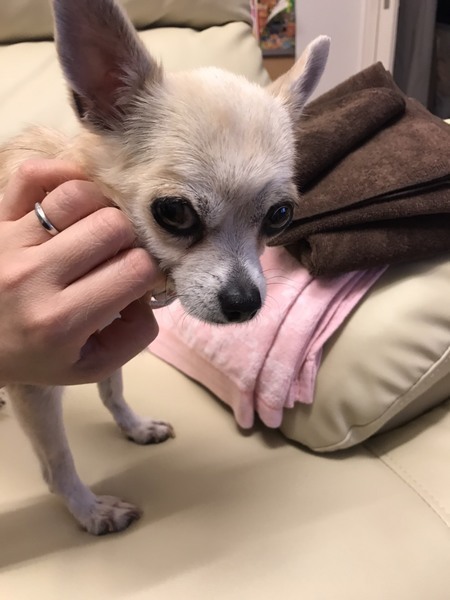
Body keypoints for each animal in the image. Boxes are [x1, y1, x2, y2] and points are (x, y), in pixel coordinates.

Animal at [0, 0, 329, 534]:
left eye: (280, 215)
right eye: (174, 213)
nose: (245, 302)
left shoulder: (106, 342)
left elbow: (112, 386)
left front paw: (133, 426)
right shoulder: (36, 384)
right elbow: (59, 460)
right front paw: (89, 510)